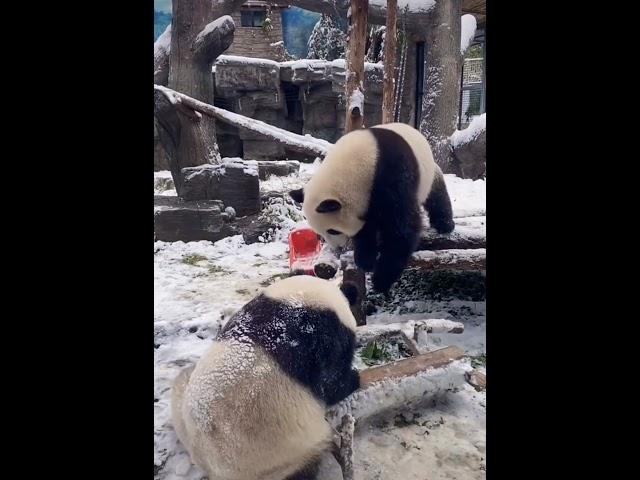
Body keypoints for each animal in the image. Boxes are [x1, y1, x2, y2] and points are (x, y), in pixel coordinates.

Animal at [290, 121, 456, 292]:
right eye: (319, 234)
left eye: (333, 231)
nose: (338, 247)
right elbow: (365, 230)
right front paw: (365, 260)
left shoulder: (392, 174)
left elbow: (402, 227)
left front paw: (381, 280)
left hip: (427, 174)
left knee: (436, 196)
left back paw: (444, 224)